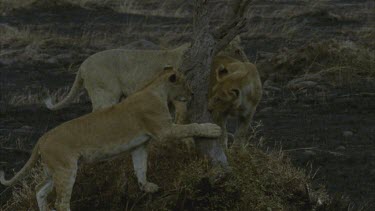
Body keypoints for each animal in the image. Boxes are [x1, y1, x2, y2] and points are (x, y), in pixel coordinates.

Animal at [0, 66, 223, 211]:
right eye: (185, 83)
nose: (193, 94)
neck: (156, 89)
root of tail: (42, 138)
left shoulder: (140, 145)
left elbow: (140, 167)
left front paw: (147, 187)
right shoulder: (164, 131)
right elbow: (191, 127)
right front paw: (213, 129)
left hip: (53, 168)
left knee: (39, 189)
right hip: (66, 168)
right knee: (61, 202)